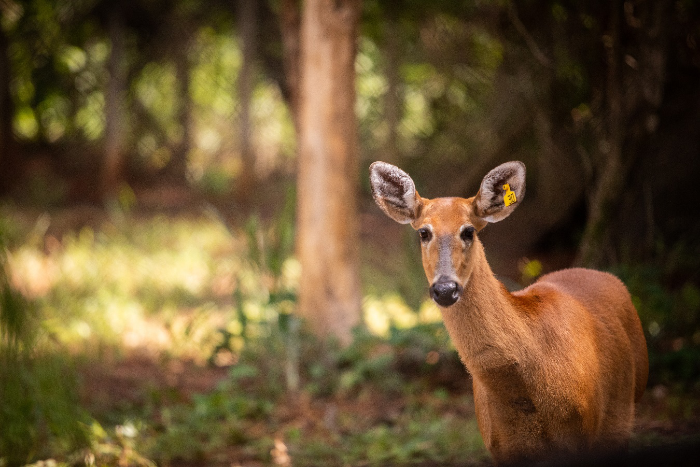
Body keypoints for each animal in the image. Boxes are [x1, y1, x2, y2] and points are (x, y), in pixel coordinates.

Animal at [370, 160, 648, 464]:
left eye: (469, 231)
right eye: (423, 232)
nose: (445, 289)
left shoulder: (582, 433)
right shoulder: (500, 447)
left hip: (622, 414)